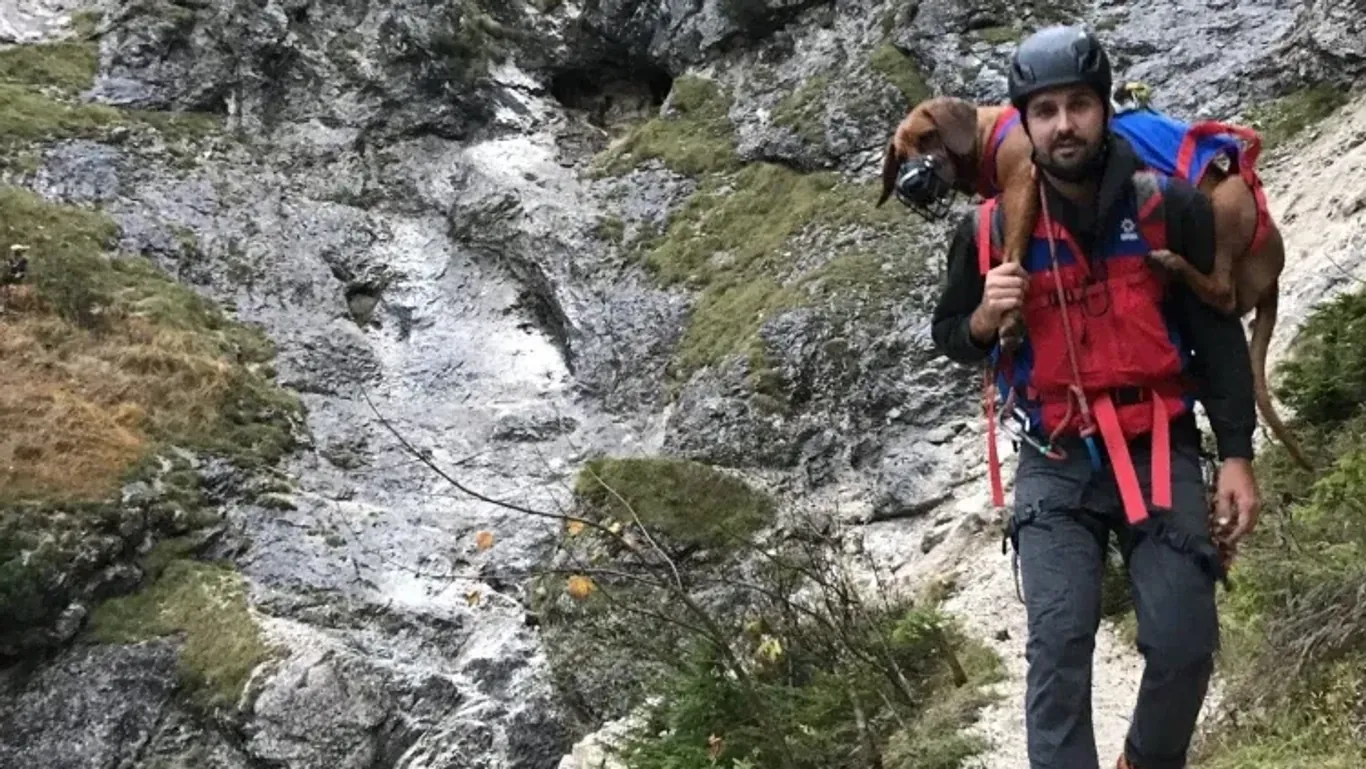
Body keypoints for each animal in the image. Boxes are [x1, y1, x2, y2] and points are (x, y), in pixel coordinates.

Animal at [879, 94, 1316, 472]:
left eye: (927, 137)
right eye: (899, 156)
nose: (911, 184)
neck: (989, 136)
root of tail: (1273, 277)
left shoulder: (1023, 183)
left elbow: (1014, 251)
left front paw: (1010, 319)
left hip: (1225, 201)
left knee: (1223, 292)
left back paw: (1171, 263)